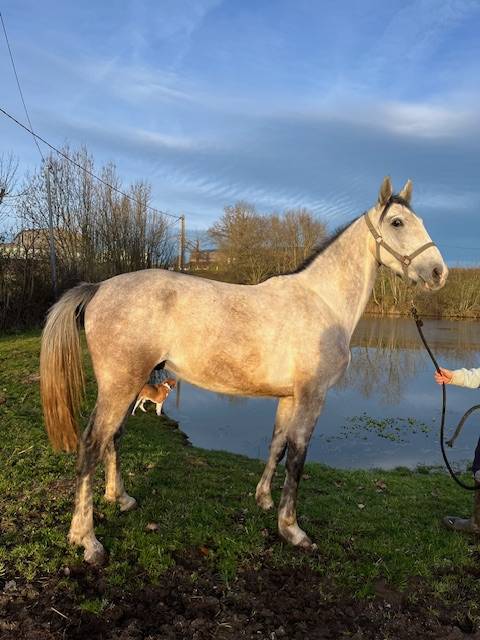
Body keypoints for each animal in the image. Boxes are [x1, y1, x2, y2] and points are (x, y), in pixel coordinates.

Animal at [40, 176, 447, 565]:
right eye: (397, 222)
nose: (438, 273)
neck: (322, 303)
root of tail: (99, 287)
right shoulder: (313, 396)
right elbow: (297, 458)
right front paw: (292, 530)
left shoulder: (289, 397)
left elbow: (277, 445)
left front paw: (263, 500)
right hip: (119, 385)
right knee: (92, 444)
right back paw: (87, 540)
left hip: (129, 385)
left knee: (114, 438)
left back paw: (120, 499)